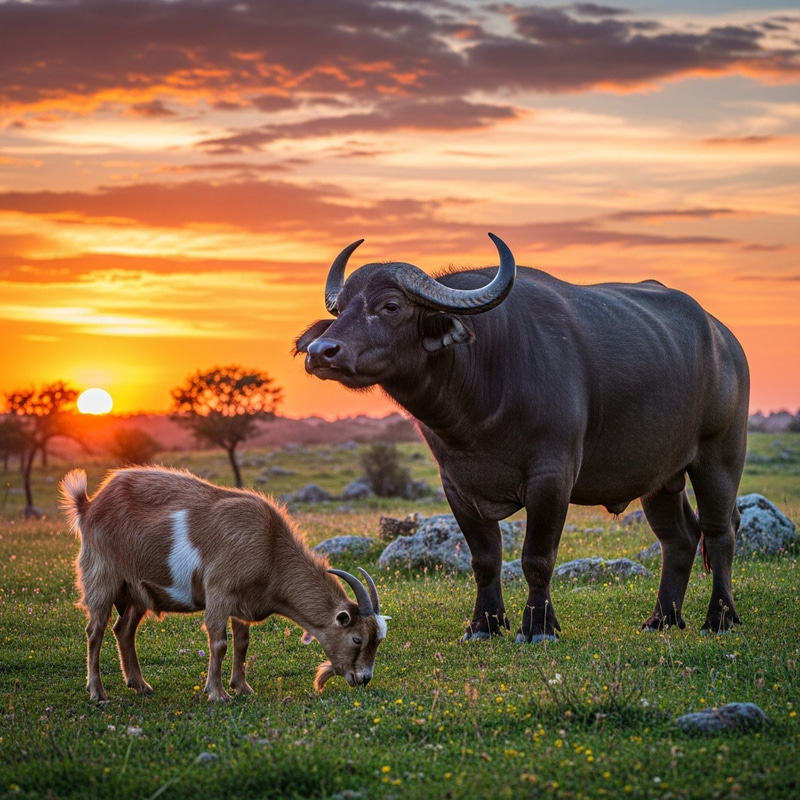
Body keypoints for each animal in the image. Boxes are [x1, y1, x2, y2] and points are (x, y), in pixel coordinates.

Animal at [59, 466, 388, 701]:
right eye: (357, 639)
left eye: (378, 640)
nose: (364, 678)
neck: (269, 547)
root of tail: (89, 505)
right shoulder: (219, 592)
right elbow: (219, 643)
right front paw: (217, 694)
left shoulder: (242, 603)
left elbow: (242, 643)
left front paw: (242, 687)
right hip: (102, 578)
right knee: (95, 631)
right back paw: (98, 692)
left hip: (135, 591)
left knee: (123, 630)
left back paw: (140, 685)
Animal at [295, 234, 749, 642]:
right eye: (341, 309)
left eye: (390, 306)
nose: (321, 351)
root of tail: (725, 339)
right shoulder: (456, 485)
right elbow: (485, 559)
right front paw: (484, 624)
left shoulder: (551, 478)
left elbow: (537, 557)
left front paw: (539, 627)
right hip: (660, 479)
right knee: (679, 538)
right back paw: (662, 619)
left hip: (720, 456)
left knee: (720, 531)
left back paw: (720, 619)